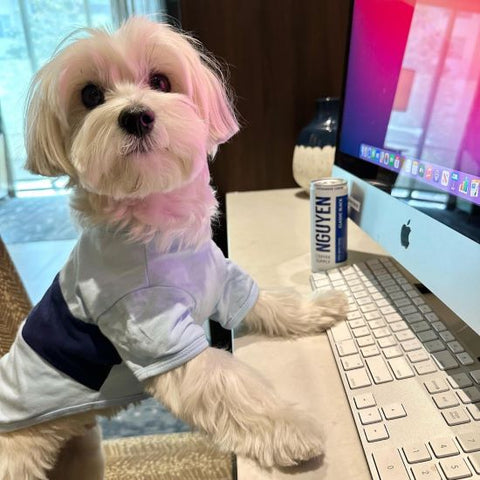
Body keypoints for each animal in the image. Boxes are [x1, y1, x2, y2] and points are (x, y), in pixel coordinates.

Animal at [0, 16, 344, 478]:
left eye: (161, 81)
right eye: (90, 95)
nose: (136, 116)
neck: (159, 232)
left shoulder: (222, 275)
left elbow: (267, 300)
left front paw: (317, 306)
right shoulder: (159, 336)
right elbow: (227, 383)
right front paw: (289, 427)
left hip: (80, 451)